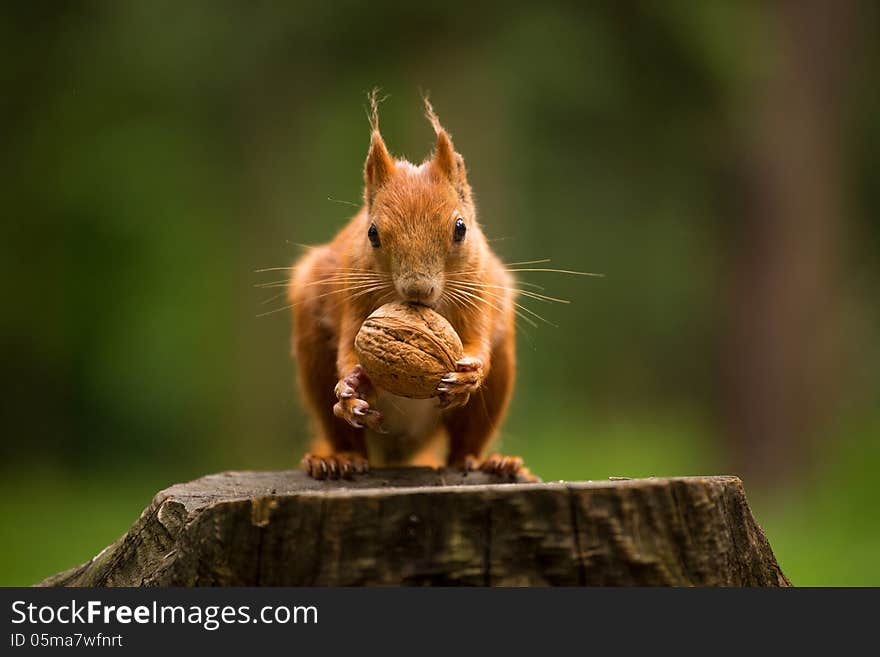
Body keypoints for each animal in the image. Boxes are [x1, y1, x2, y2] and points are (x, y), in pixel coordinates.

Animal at [288, 93, 532, 476]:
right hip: (312, 354)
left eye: (460, 228)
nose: (418, 290)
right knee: (343, 433)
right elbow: (348, 350)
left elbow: (476, 341)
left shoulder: (479, 291)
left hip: (499, 375)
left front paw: (470, 373)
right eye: (372, 233)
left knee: (465, 443)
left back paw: (488, 461)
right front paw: (352, 386)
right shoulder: (353, 298)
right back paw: (337, 458)